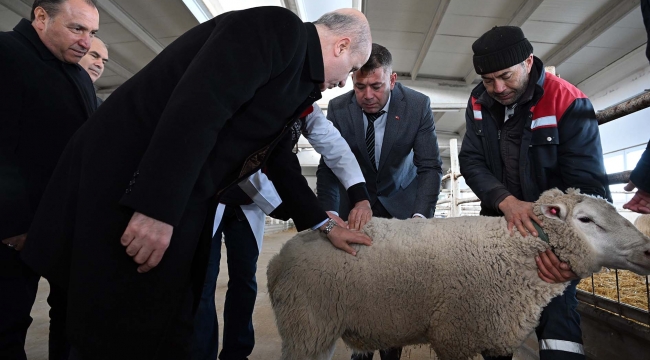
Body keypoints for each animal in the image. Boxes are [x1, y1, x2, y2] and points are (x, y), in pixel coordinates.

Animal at [266, 190, 648, 358]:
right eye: (586, 220)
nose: (647, 250)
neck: (508, 254)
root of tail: (279, 259)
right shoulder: (454, 336)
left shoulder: (494, 333)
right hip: (307, 328)